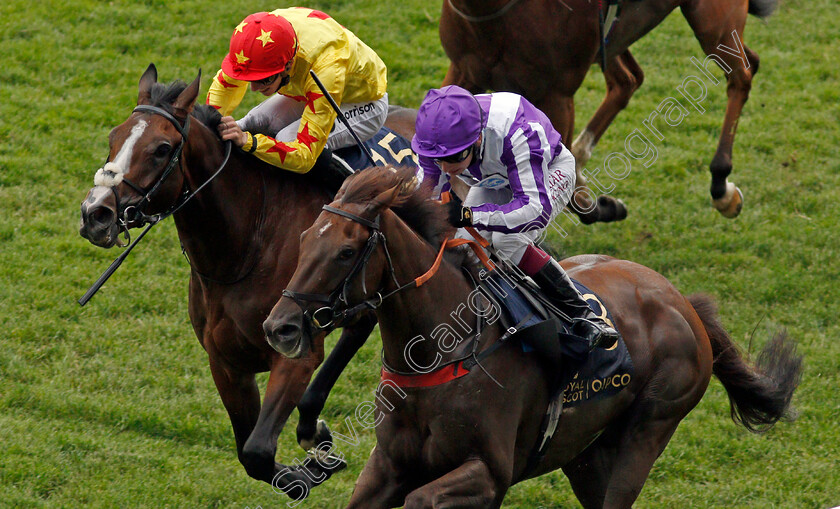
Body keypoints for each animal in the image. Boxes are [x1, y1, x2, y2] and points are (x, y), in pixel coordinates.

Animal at [78, 64, 416, 496]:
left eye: (161, 149)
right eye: (113, 137)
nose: (96, 214)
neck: (247, 244)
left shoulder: (294, 352)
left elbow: (257, 450)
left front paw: (309, 470)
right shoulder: (226, 363)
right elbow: (249, 453)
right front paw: (310, 458)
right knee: (361, 323)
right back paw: (312, 427)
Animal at [262, 165, 800, 506]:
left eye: (346, 252)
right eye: (305, 238)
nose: (279, 327)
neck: (445, 352)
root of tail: (684, 303)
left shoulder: (489, 474)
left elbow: (424, 499)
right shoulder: (386, 467)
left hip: (649, 429)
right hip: (586, 455)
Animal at [442, 0, 776, 222]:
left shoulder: (557, 96)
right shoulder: (463, 70)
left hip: (712, 17)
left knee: (741, 75)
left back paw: (722, 188)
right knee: (629, 79)